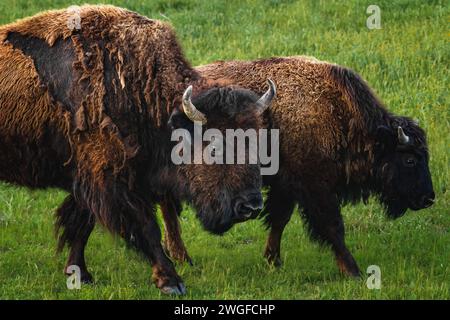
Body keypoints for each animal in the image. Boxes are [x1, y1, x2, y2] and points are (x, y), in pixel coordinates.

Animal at [0, 5, 274, 296]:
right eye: (215, 146)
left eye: (256, 140)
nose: (251, 206)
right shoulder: (111, 180)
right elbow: (145, 226)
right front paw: (171, 282)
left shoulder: (91, 181)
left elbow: (81, 225)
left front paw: (81, 275)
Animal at [160, 56, 434, 276]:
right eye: (410, 159)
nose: (429, 198)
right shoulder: (314, 187)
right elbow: (332, 226)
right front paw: (352, 270)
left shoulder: (287, 187)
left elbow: (279, 220)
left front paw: (273, 260)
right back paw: (180, 257)